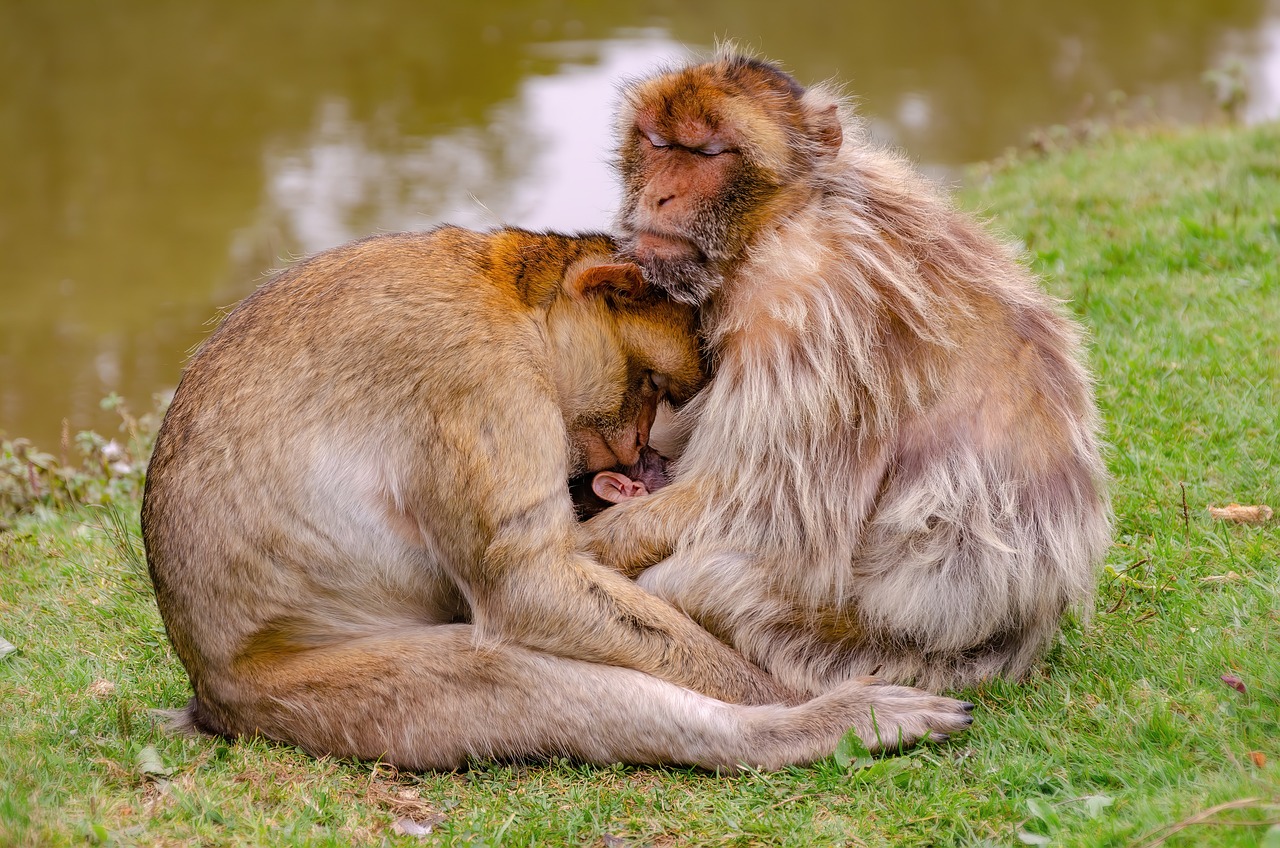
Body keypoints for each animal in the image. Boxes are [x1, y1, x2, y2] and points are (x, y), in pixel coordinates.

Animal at [140, 228, 967, 778]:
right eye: (652, 386)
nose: (638, 452)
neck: (507, 295)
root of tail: (208, 689)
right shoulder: (479, 378)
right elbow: (526, 585)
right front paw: (787, 690)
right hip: (297, 696)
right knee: (502, 673)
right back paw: (814, 729)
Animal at [581, 56, 1111, 701]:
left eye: (709, 152)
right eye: (658, 143)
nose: (660, 196)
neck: (778, 224)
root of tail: (1027, 629)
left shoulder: (807, 311)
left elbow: (765, 504)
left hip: (867, 646)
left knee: (712, 576)